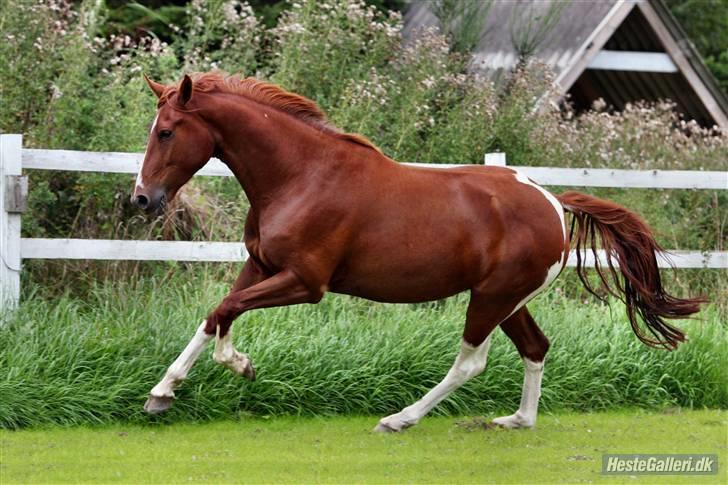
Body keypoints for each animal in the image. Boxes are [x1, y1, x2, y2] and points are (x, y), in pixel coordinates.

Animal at [132, 73, 704, 432]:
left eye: (167, 132)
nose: (141, 199)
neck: (302, 176)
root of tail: (552, 201)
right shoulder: (261, 266)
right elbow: (215, 316)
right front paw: (161, 393)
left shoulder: (305, 282)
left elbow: (226, 311)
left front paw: (241, 365)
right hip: (508, 300)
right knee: (536, 347)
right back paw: (518, 420)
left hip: (492, 299)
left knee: (471, 362)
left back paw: (400, 419)